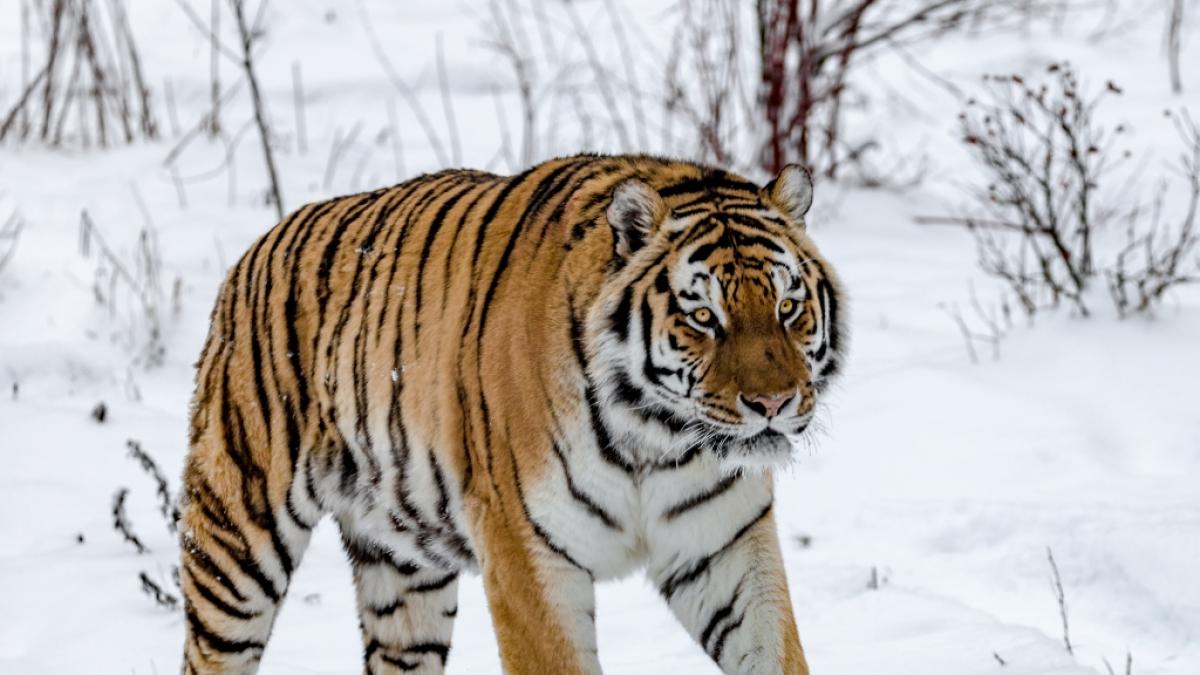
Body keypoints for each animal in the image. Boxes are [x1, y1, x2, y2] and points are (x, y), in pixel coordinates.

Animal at [179, 153, 846, 675]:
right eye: (703, 316)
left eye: (788, 307)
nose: (773, 404)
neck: (656, 441)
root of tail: (255, 250)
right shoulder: (526, 554)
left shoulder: (724, 546)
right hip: (237, 546)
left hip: (404, 573)